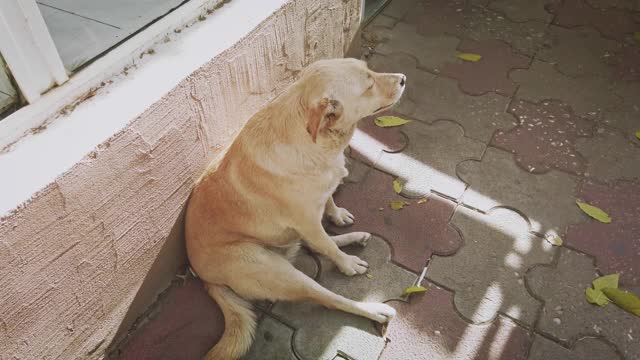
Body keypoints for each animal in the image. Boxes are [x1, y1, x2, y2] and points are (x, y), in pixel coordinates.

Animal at [185, 57, 404, 358]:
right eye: (369, 84)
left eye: (369, 69)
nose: (403, 79)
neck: (317, 142)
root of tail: (206, 279)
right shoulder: (307, 222)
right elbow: (328, 246)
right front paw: (346, 263)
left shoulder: (317, 206)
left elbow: (329, 204)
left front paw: (337, 215)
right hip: (280, 272)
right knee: (327, 294)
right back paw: (375, 309)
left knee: (313, 246)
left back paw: (355, 238)